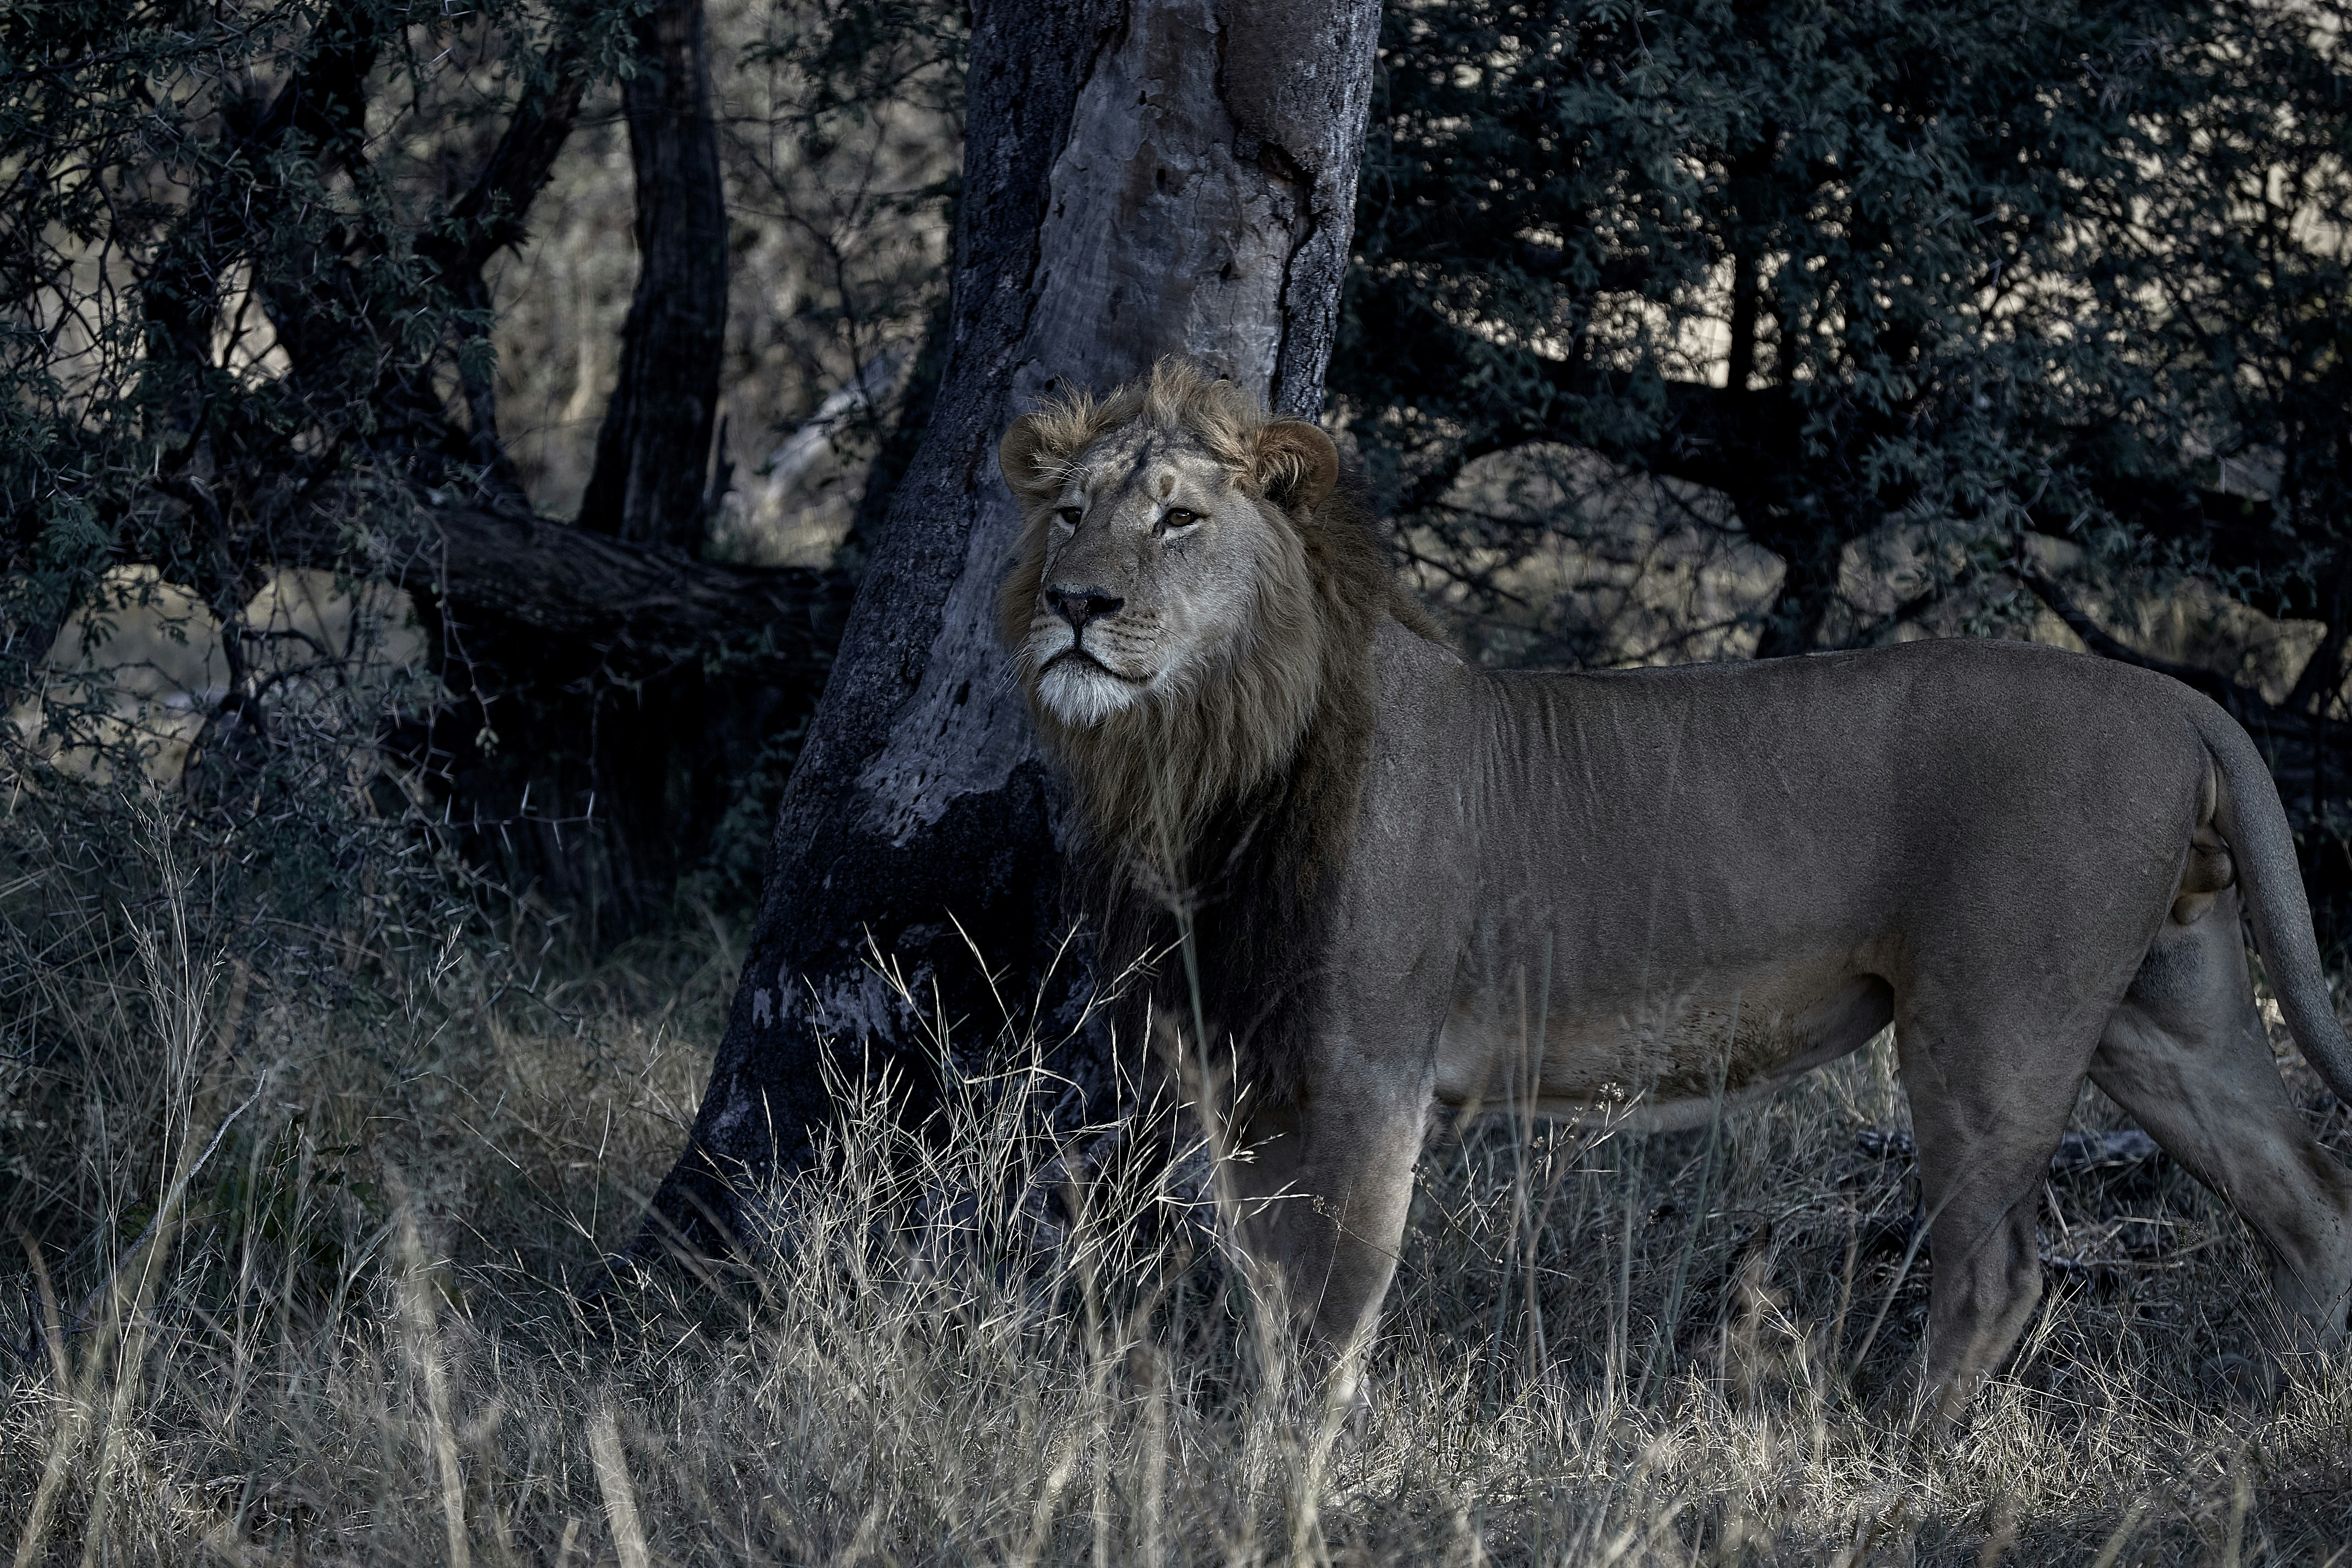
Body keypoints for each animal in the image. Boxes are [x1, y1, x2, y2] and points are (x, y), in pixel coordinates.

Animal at [997, 358, 2352, 1413]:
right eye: (1068, 513)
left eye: (1178, 519)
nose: (1075, 603)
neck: (1198, 756)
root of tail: (2176, 696)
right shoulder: (1247, 1066)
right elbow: (1270, 1281)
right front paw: (1256, 1424)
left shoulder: (1369, 1064)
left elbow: (1337, 1290)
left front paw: (1298, 1460)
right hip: (2167, 1015)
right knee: (2309, 1200)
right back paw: (2274, 1399)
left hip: (1992, 1024)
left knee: (1999, 1266)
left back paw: (1897, 1446)